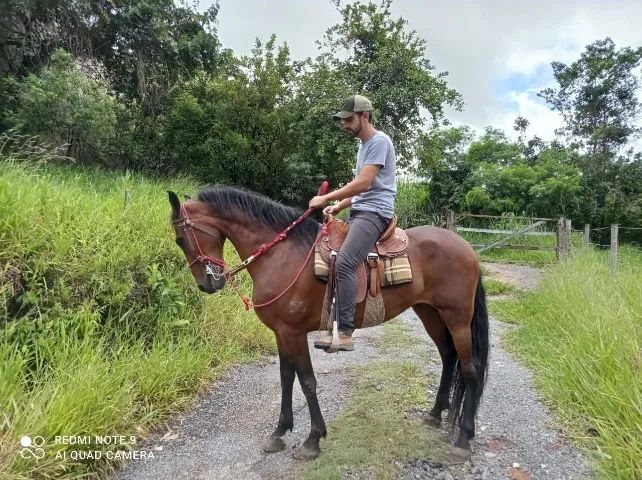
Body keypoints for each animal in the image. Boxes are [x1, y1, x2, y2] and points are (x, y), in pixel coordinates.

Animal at [167, 185, 489, 460]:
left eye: (180, 239)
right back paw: (435, 414)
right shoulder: (281, 333)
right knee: (448, 357)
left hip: (457, 318)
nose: (207, 284)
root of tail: (466, 248)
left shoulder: (294, 333)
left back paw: (464, 438)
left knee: (470, 368)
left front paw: (313, 439)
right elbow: (286, 378)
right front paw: (279, 432)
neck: (280, 256)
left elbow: (308, 382)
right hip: (429, 313)